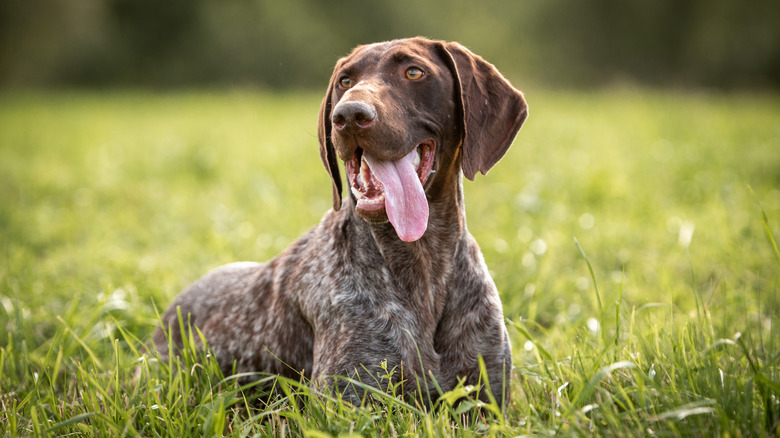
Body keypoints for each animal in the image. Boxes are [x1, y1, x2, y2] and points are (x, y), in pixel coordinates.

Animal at [152, 37, 528, 408]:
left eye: (414, 72)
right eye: (345, 81)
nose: (348, 114)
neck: (423, 265)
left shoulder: (489, 401)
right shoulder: (349, 403)